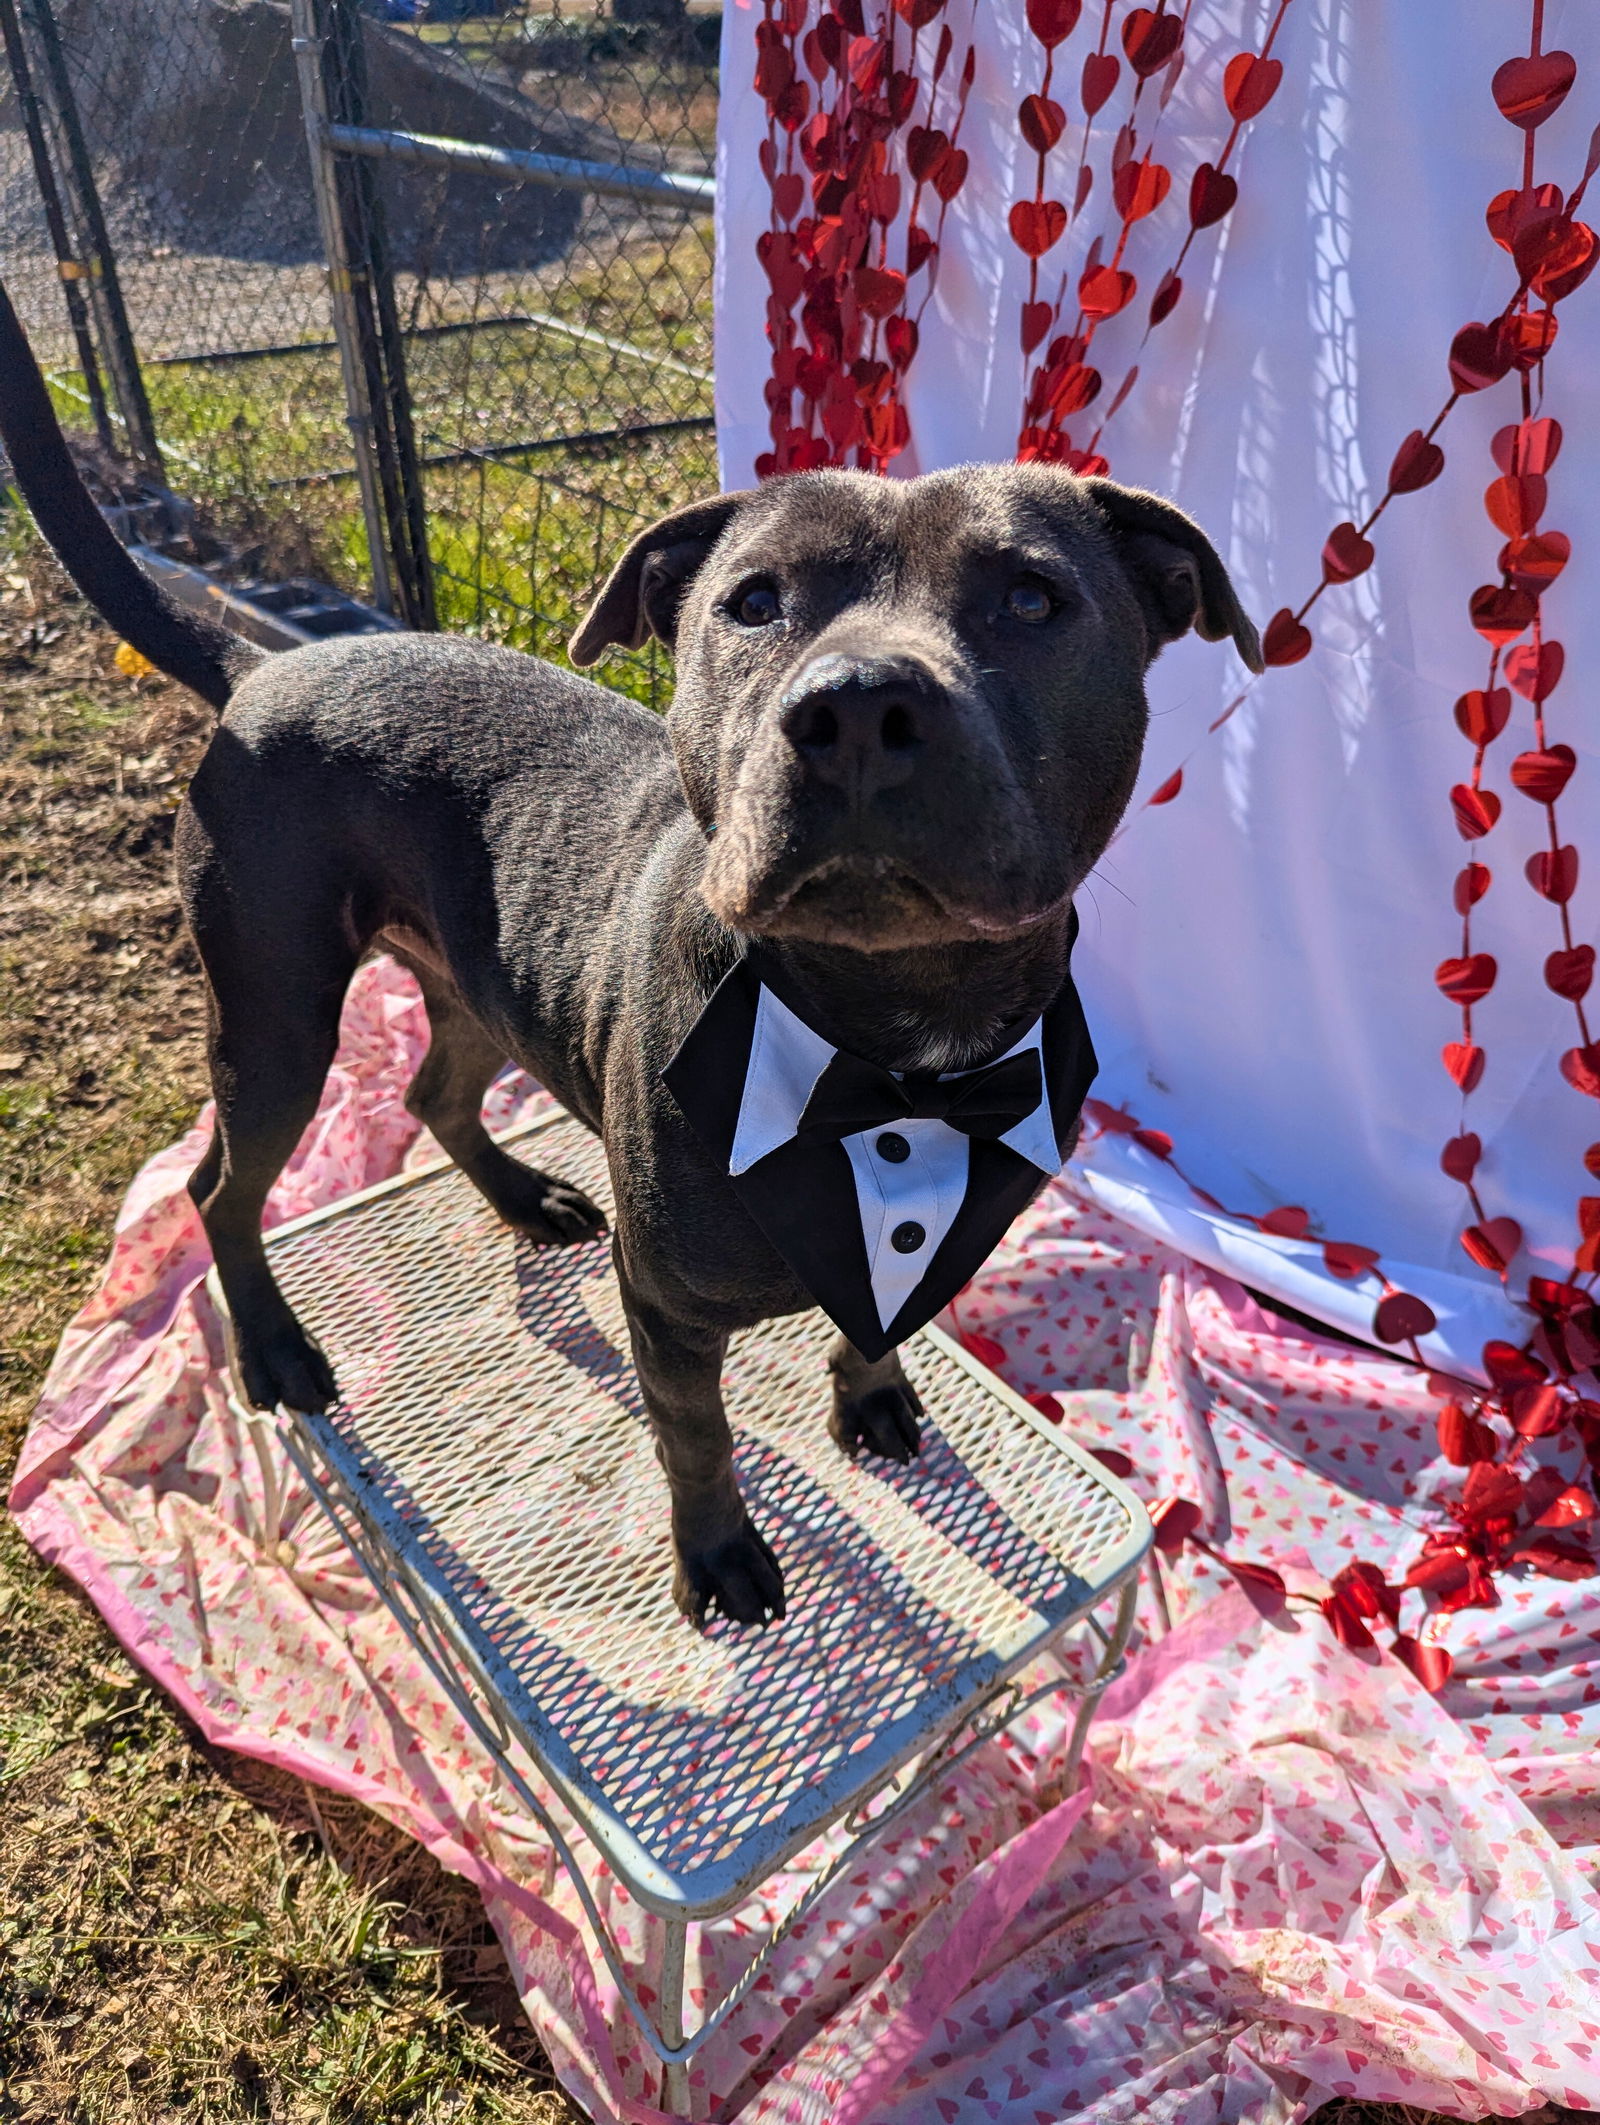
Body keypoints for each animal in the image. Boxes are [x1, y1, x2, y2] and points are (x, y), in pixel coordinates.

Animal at [0, 282, 1257, 1623]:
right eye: (752, 601)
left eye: (1030, 599)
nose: (857, 707)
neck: (892, 1051)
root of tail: (267, 662)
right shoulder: (665, 1307)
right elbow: (694, 1439)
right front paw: (717, 1555)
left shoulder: (944, 1235)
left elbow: (878, 1318)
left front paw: (870, 1397)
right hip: (278, 1018)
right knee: (218, 1190)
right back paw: (280, 1346)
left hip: (469, 980)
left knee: (429, 1092)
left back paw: (522, 1196)